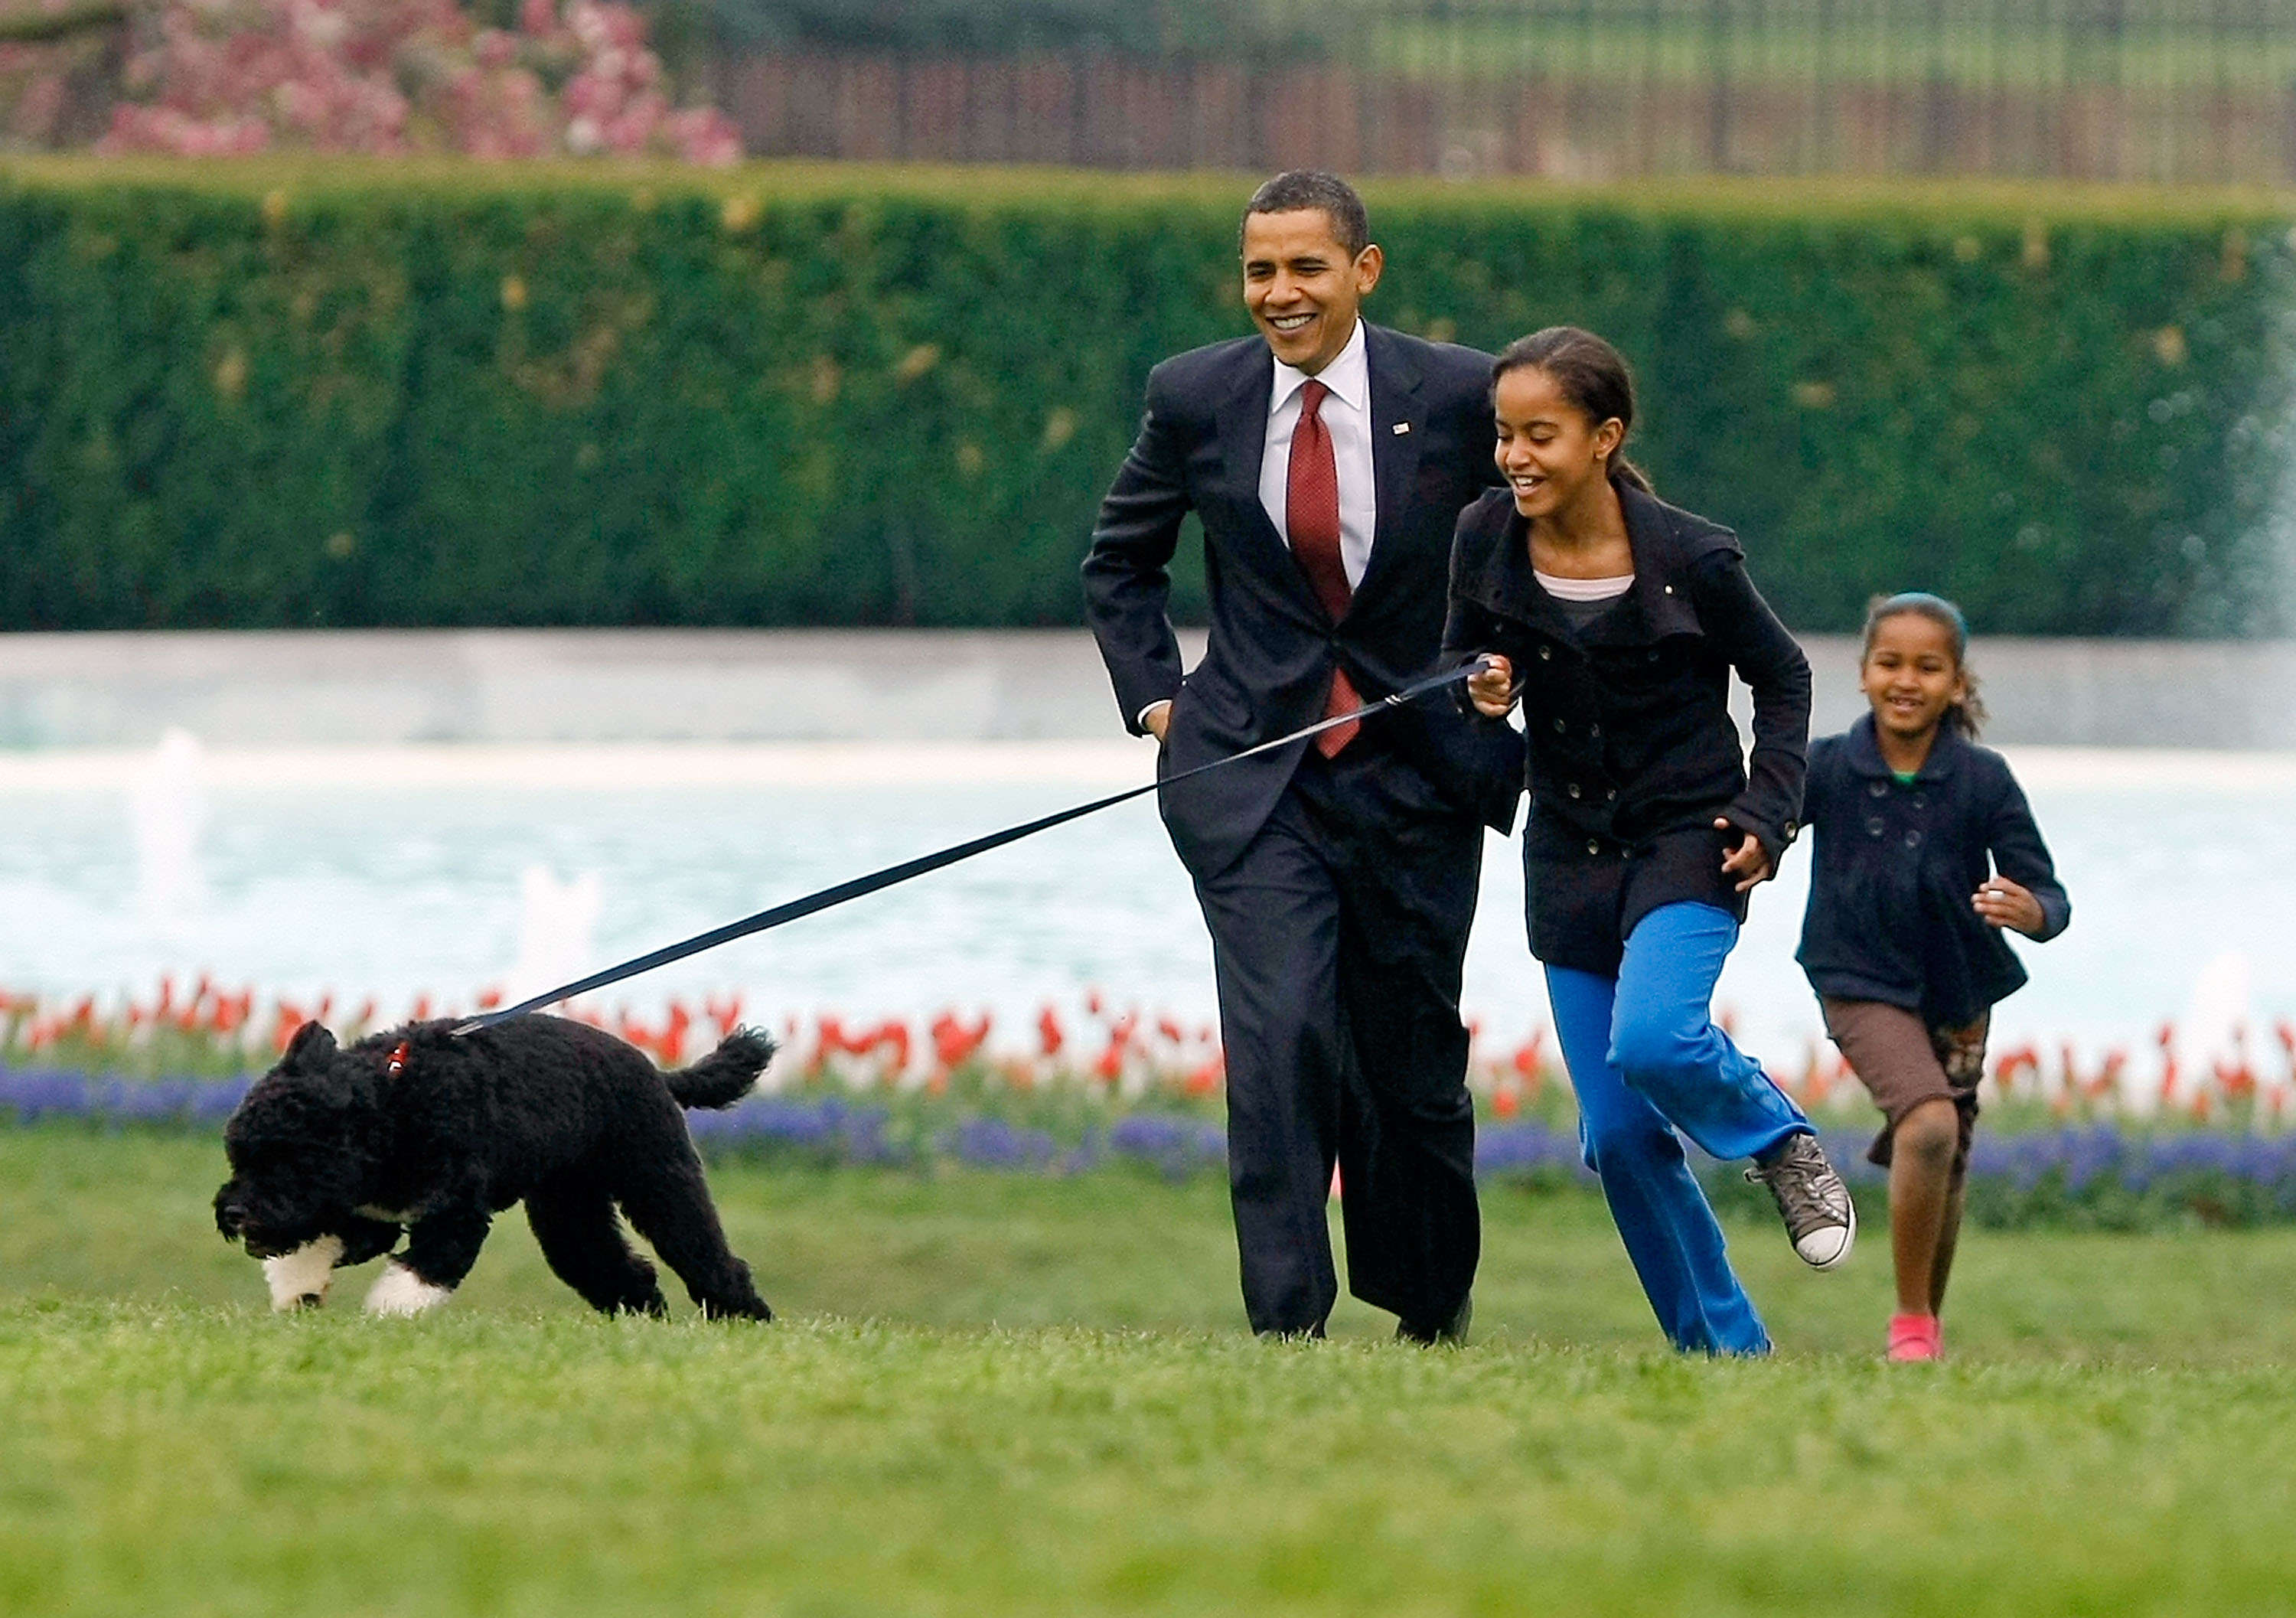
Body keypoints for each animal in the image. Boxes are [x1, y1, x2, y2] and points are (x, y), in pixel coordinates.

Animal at [219, 1014, 785, 1322]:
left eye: (290, 1156)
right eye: (239, 1154)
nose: (236, 1213)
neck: (394, 1106)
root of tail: (658, 1074)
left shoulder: (456, 1216)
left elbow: (421, 1272)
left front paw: (388, 1316)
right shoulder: (367, 1215)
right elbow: (317, 1245)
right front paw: (297, 1289)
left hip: (659, 1180)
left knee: (708, 1256)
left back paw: (745, 1320)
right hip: (568, 1209)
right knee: (616, 1267)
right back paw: (642, 1320)